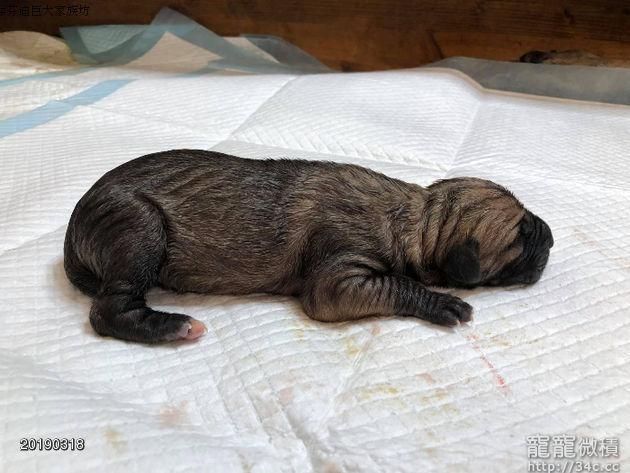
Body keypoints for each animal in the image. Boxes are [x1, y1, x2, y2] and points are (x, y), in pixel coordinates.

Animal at [64, 150, 554, 343]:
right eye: (522, 235)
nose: (551, 235)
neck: (418, 217)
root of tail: (75, 225)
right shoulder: (339, 273)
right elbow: (386, 286)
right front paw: (442, 302)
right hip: (137, 228)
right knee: (108, 310)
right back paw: (173, 326)